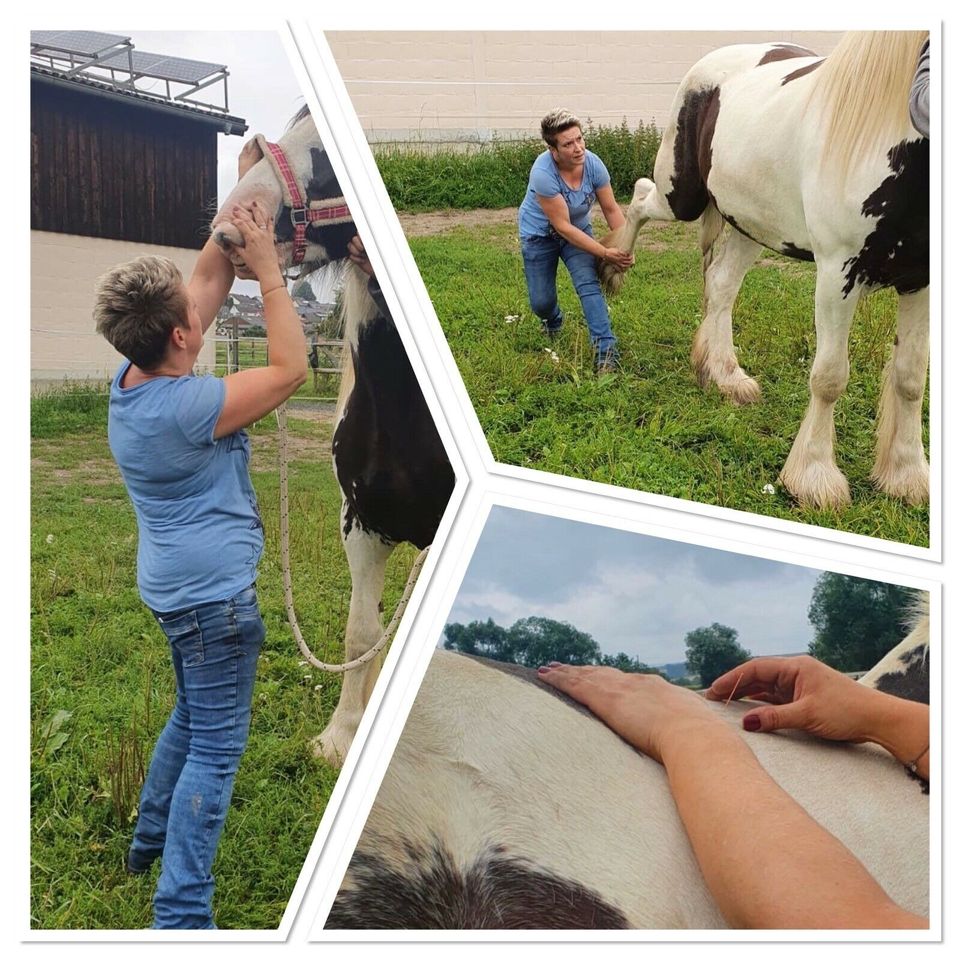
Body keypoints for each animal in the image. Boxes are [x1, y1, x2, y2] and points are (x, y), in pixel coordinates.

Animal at [600, 30, 928, 510]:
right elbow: (830, 377)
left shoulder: (920, 281)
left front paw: (906, 475)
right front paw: (814, 477)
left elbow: (910, 377)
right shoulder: (838, 275)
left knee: (721, 286)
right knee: (641, 197)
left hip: (749, 224)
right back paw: (612, 270)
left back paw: (726, 376)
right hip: (682, 195)